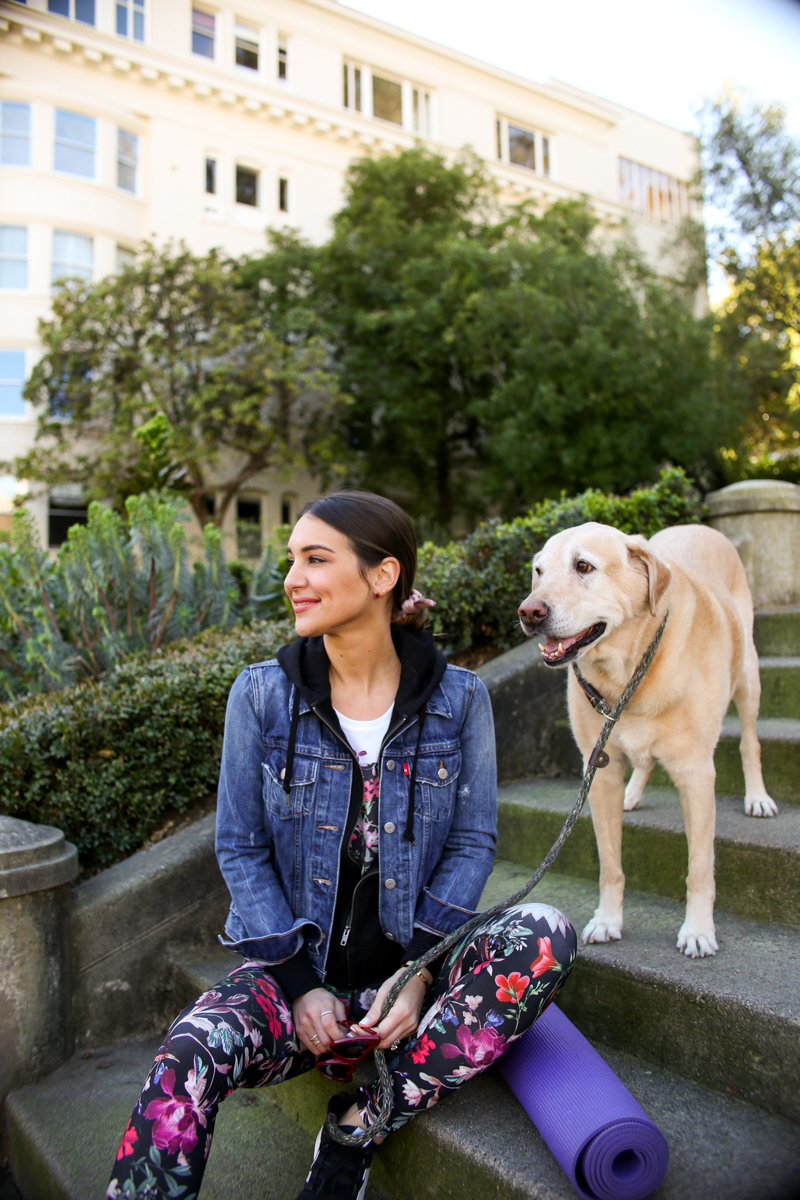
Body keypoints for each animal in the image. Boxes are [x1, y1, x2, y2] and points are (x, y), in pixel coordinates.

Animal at [520, 523, 777, 955]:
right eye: (538, 571)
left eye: (583, 566)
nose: (528, 612)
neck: (627, 671)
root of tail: (700, 526)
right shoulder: (599, 772)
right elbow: (610, 864)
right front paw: (608, 919)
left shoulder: (696, 774)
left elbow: (699, 868)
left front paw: (698, 929)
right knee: (644, 759)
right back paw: (633, 794)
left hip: (749, 677)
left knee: (749, 742)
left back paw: (757, 796)